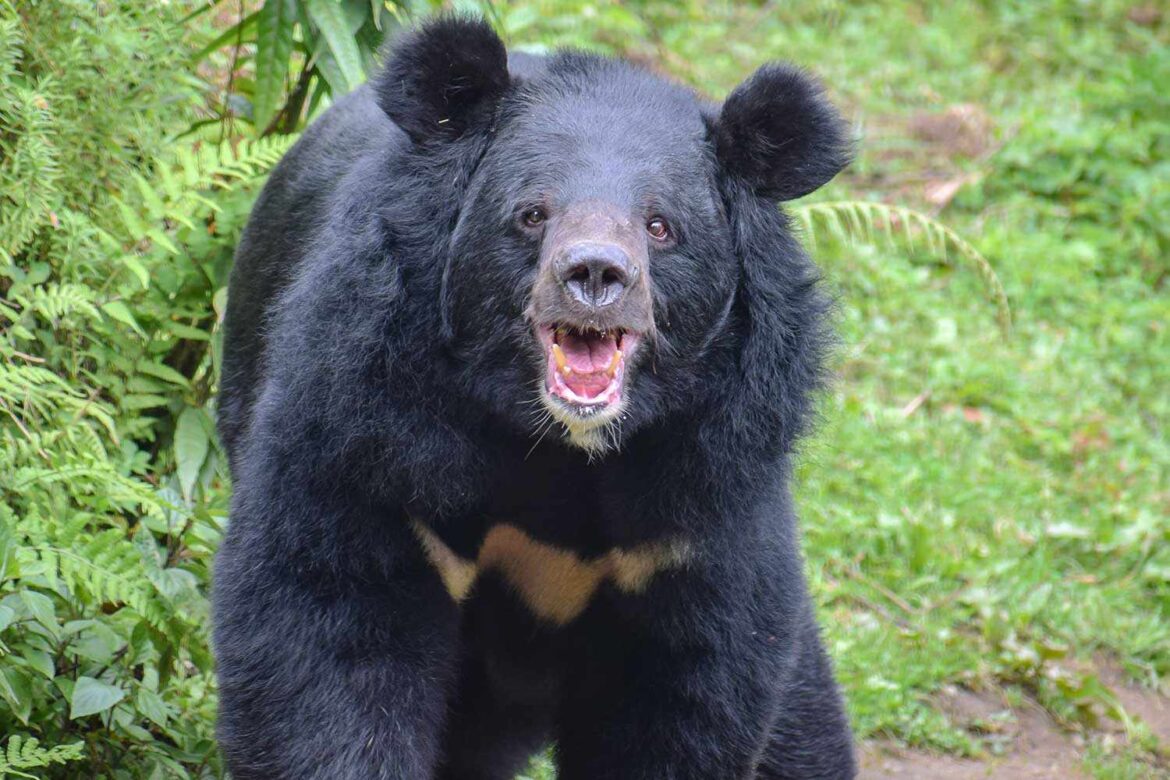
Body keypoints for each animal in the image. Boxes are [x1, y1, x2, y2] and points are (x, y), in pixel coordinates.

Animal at [213, 15, 855, 780]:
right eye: (531, 213)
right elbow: (328, 628)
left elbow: (685, 695)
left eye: (661, 226)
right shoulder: (373, 430)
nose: (596, 275)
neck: (559, 448)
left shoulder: (702, 502)